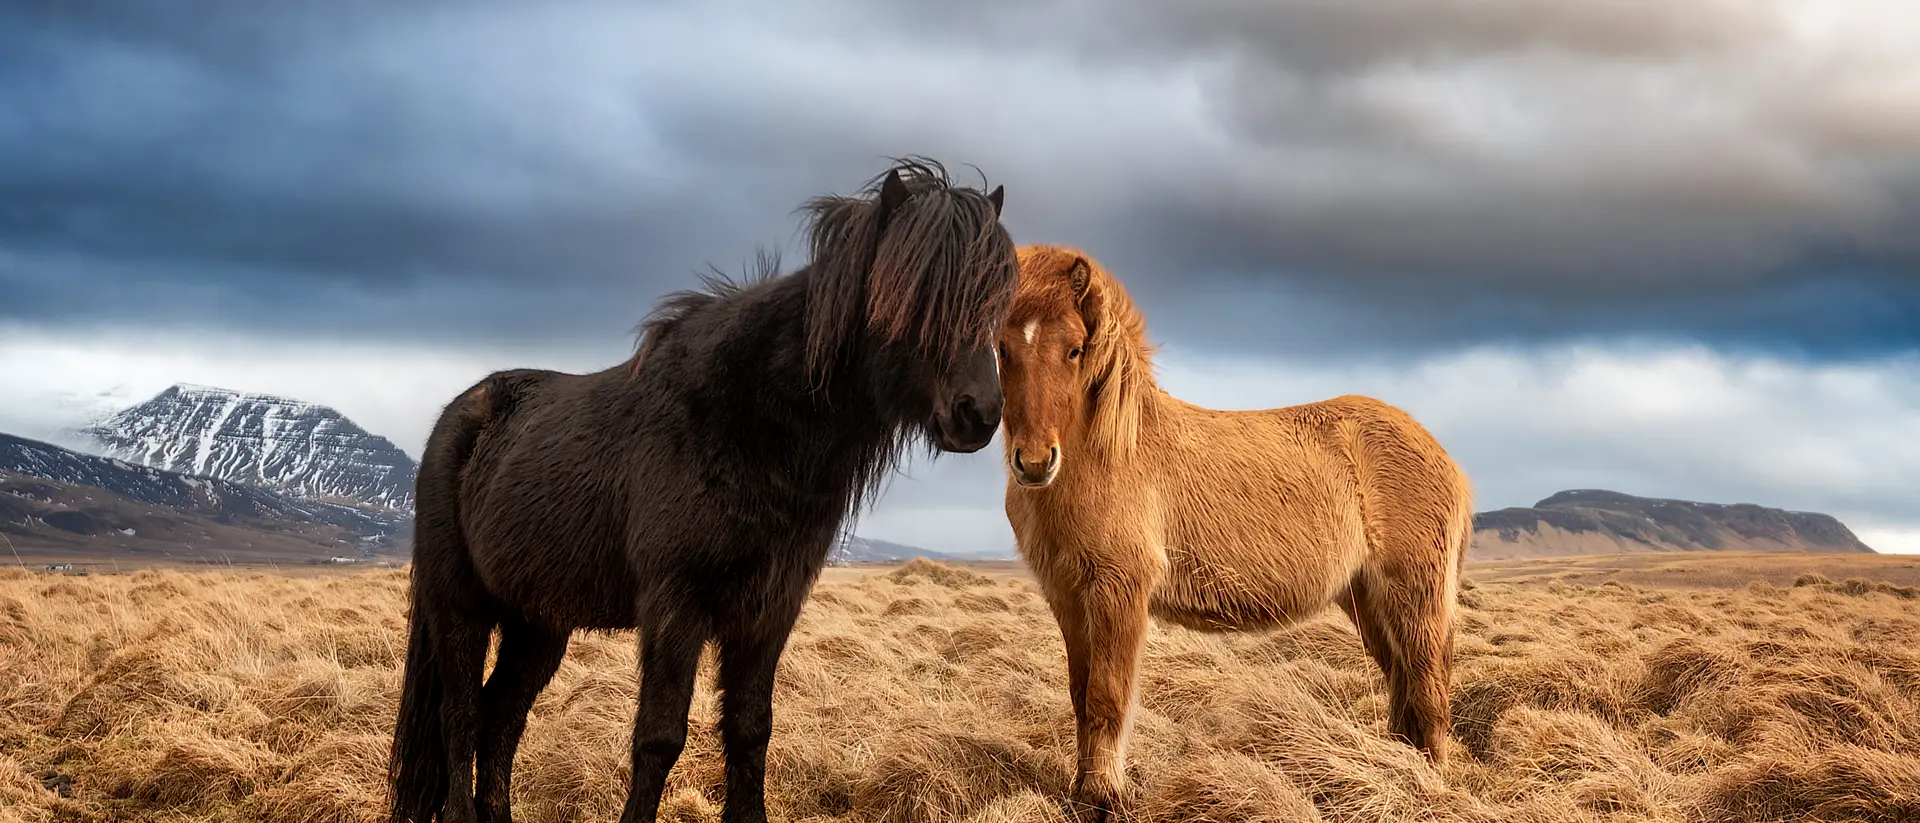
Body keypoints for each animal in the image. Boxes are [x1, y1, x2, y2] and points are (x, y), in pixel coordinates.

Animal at [386, 159, 1019, 823]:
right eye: (916, 294)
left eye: (995, 300)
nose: (978, 414)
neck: (746, 427)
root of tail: (459, 415)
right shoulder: (675, 604)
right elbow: (660, 736)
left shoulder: (769, 610)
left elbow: (750, 730)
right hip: (460, 608)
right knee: (461, 717)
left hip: (538, 623)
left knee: (499, 721)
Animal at [994, 245, 1473, 820]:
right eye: (1001, 348)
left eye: (1074, 349)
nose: (1034, 462)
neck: (1108, 454)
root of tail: (1444, 458)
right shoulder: (1066, 595)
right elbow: (1080, 693)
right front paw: (1080, 795)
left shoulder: (1118, 590)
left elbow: (1107, 697)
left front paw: (1105, 798)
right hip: (1366, 599)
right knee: (1403, 685)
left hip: (1413, 597)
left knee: (1428, 689)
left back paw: (1430, 787)